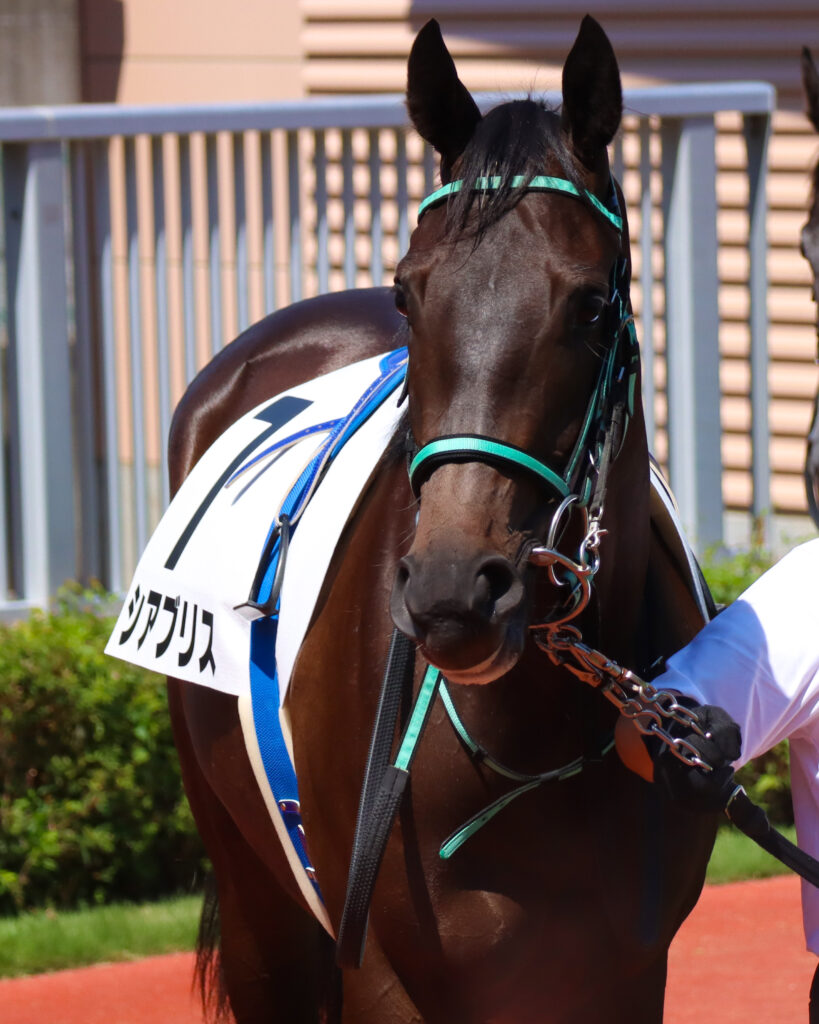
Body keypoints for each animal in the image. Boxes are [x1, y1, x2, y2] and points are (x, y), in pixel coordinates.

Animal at [166, 17, 717, 1023]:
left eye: (591, 303)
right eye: (405, 292)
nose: (455, 589)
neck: (529, 734)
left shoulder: (625, 971)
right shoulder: (386, 972)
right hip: (257, 894)